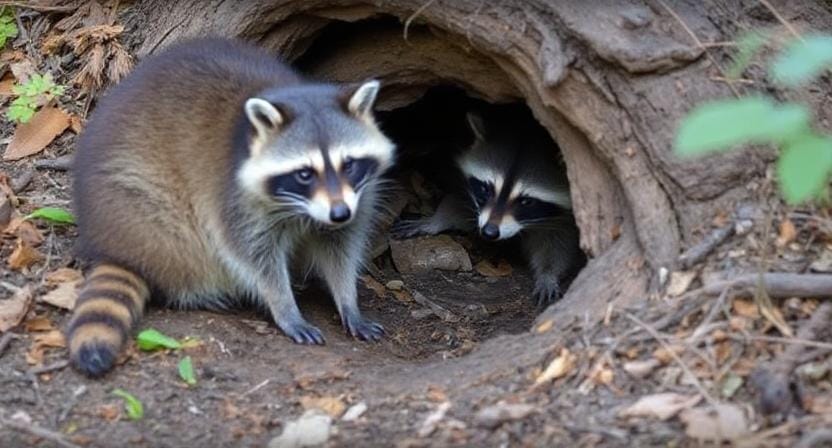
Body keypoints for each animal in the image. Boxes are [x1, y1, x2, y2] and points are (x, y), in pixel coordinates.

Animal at [67, 38, 395, 377]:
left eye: (349, 164)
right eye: (305, 173)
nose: (339, 214)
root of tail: (110, 240)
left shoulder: (357, 196)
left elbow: (340, 247)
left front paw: (347, 300)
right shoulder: (233, 199)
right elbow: (255, 258)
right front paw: (285, 308)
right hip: (136, 201)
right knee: (176, 241)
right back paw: (193, 290)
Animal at [393, 110, 583, 306]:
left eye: (526, 202)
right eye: (486, 189)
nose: (489, 232)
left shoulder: (563, 216)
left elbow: (557, 243)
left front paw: (548, 274)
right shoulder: (468, 189)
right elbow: (460, 203)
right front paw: (437, 220)